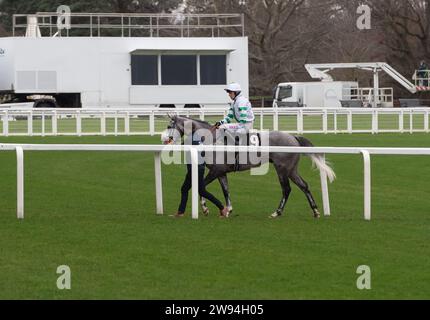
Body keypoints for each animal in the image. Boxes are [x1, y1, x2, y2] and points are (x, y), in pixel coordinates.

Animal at [163, 115, 334, 218]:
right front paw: (228, 210)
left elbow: (201, 187)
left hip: (282, 169)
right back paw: (315, 211)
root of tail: (293, 137)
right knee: (304, 186)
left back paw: (277, 212)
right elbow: (225, 190)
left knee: (287, 189)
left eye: (168, 126)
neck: (212, 139)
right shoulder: (221, 172)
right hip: (291, 170)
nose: (165, 139)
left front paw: (205, 208)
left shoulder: (216, 171)